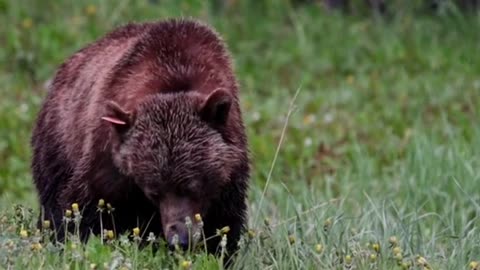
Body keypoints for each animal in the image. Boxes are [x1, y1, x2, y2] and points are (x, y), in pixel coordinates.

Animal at [30, 19, 249, 255]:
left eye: (192, 186)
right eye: (154, 192)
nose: (179, 239)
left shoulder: (230, 172)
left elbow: (225, 221)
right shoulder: (110, 156)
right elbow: (81, 206)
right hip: (59, 142)